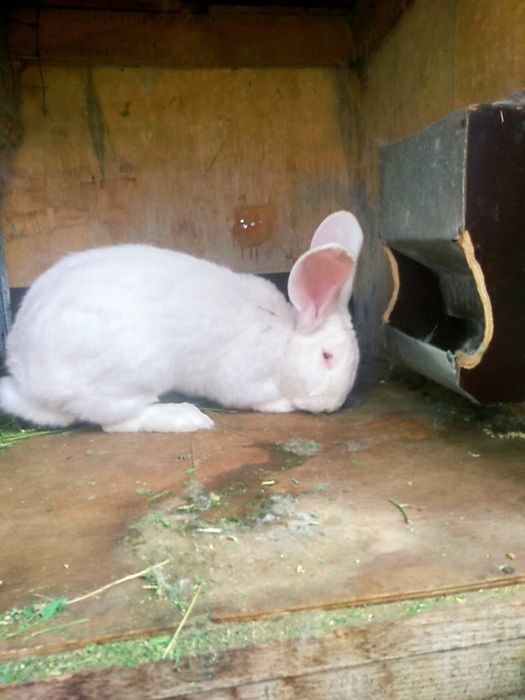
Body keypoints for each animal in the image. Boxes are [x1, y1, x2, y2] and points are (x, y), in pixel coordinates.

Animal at [0, 210, 363, 433]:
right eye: (327, 356)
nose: (330, 407)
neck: (285, 342)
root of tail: (29, 381)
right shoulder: (243, 379)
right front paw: (284, 404)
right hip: (130, 378)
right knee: (116, 422)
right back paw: (186, 417)